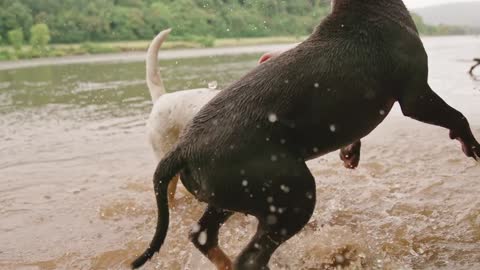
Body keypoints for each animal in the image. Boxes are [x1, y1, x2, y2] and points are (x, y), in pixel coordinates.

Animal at [132, 1, 480, 268]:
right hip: (292, 194)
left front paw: (350, 153)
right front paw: (472, 146)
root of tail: (183, 148)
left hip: (228, 195)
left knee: (203, 235)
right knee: (251, 257)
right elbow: (458, 117)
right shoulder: (416, 96)